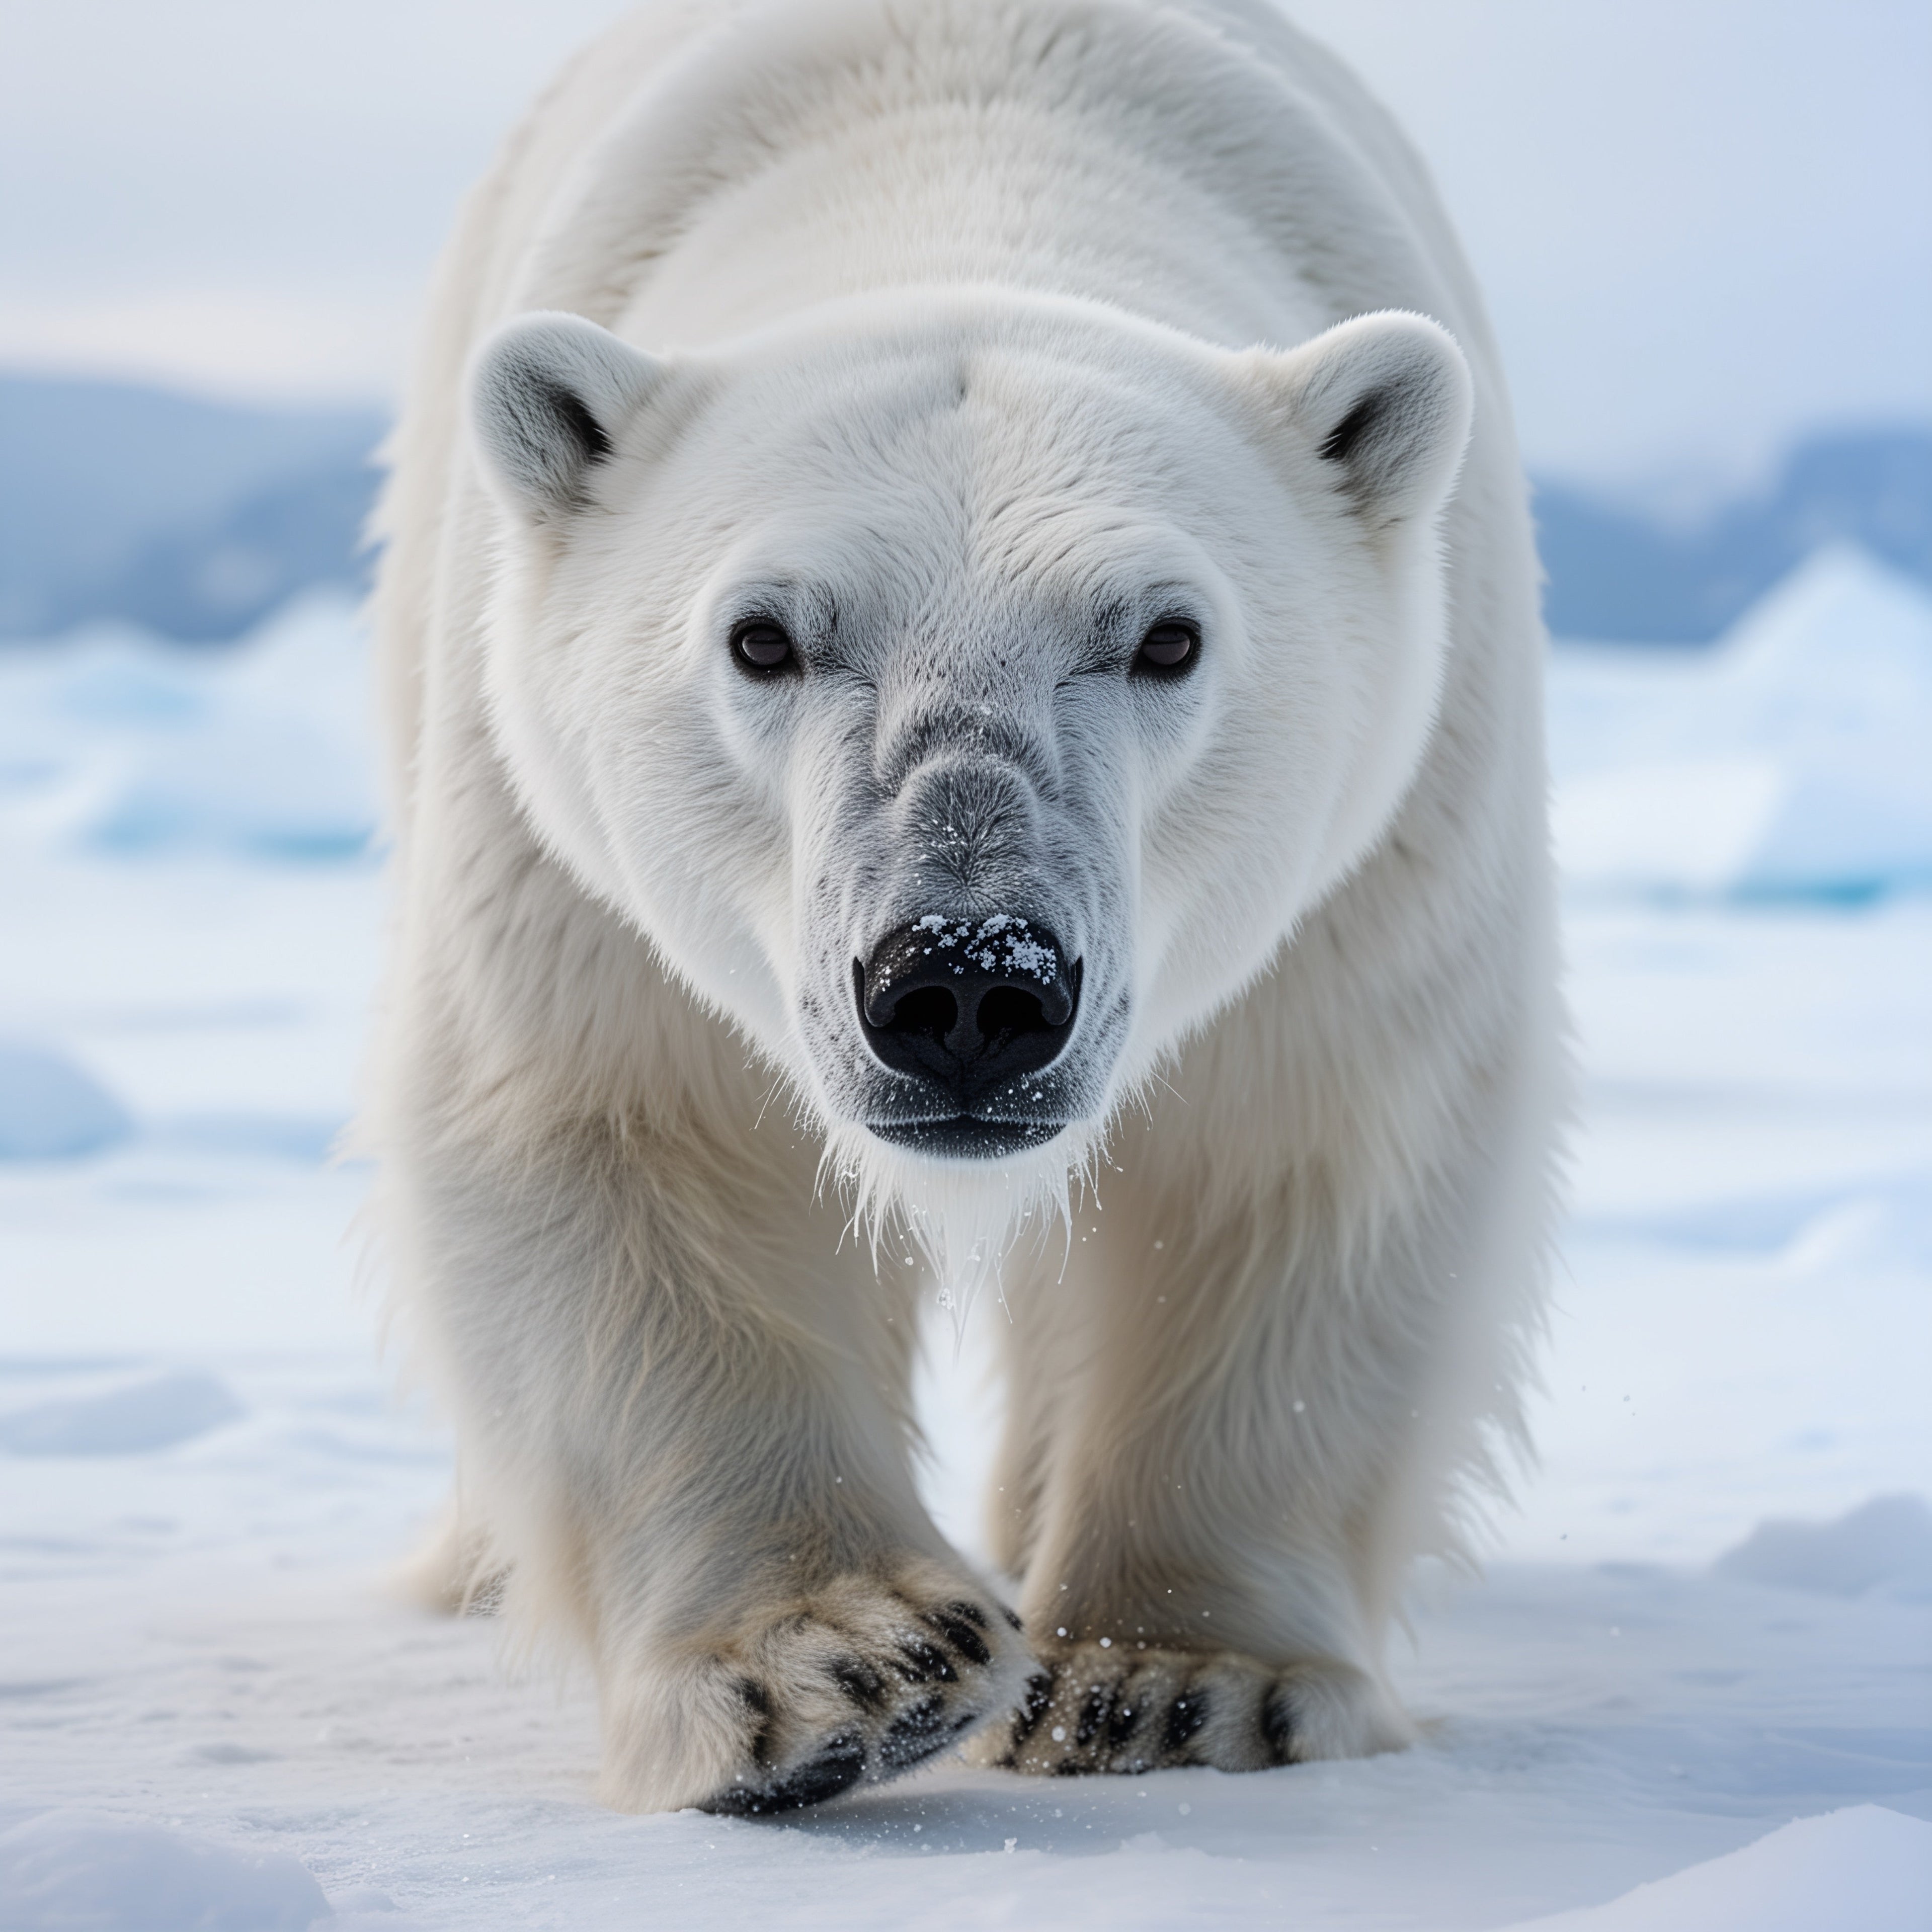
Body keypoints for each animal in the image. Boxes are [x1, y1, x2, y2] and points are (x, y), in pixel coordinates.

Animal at [363, 0, 1562, 1815]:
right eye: (763, 635)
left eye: (1166, 636)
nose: (968, 986)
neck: (967, 134)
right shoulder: (565, 858)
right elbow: (627, 1131)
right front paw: (840, 1667)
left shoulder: (1383, 844)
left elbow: (1300, 1153)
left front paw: (1175, 1682)